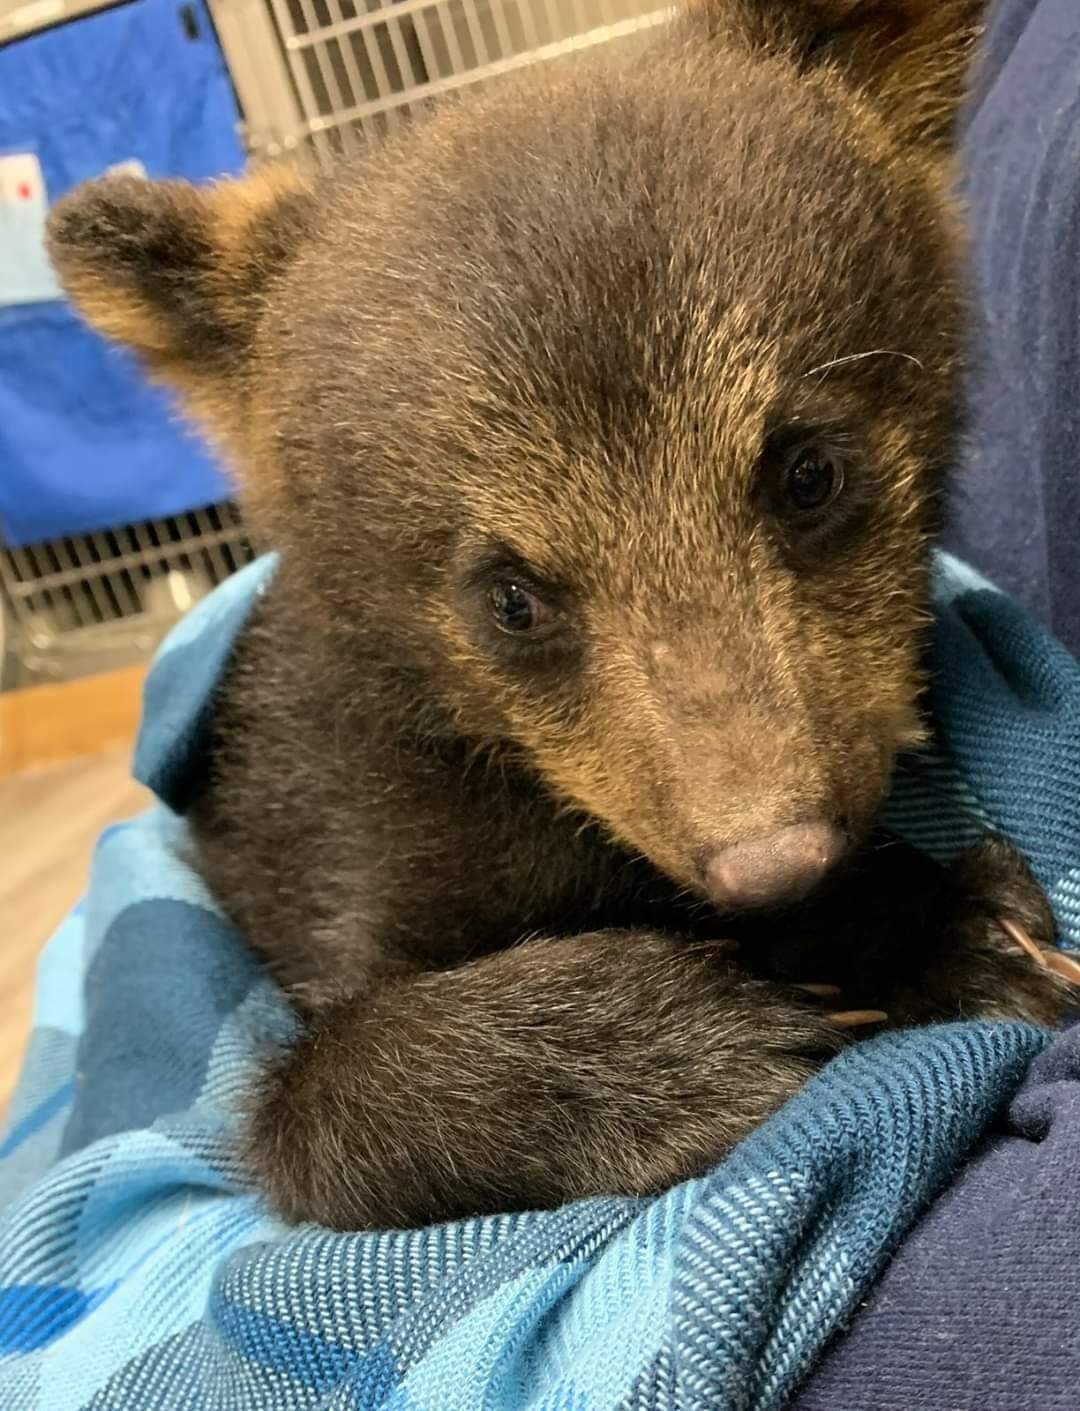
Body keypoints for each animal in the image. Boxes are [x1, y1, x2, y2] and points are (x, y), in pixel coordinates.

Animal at [46, 0, 1076, 1231]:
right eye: (510, 596)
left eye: (808, 471)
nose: (776, 856)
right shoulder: (332, 822)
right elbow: (310, 1105)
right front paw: (688, 1044)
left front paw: (951, 929)